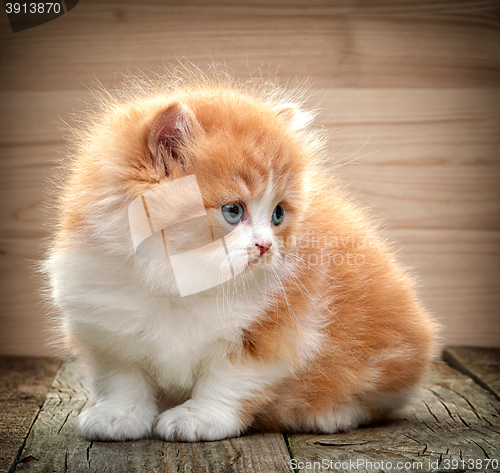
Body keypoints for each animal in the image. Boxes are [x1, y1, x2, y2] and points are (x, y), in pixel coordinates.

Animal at [46, 64, 438, 440]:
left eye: (278, 214)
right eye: (233, 211)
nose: (265, 246)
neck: (178, 278)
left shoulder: (274, 334)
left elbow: (227, 380)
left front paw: (199, 418)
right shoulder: (106, 327)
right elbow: (123, 379)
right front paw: (118, 417)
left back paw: (329, 413)